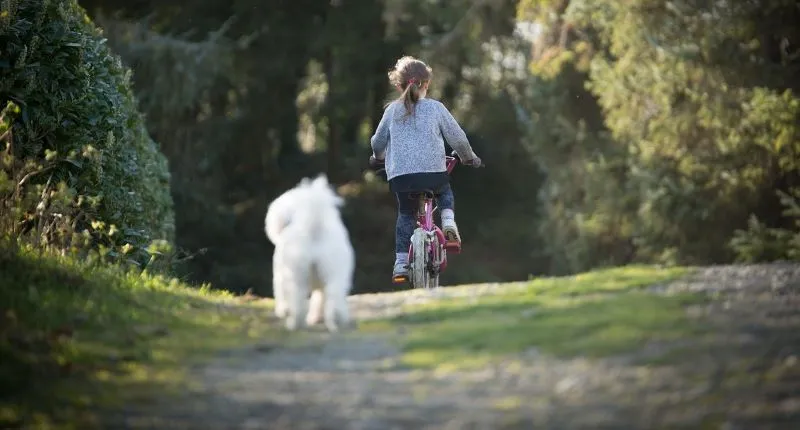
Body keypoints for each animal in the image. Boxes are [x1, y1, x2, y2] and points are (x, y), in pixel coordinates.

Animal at [264, 175, 354, 332]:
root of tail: (314, 226)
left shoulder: (280, 276)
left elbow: (281, 294)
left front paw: (283, 311)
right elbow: (319, 299)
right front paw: (315, 318)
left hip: (296, 275)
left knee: (297, 302)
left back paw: (293, 323)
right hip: (333, 273)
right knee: (333, 298)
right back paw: (335, 322)